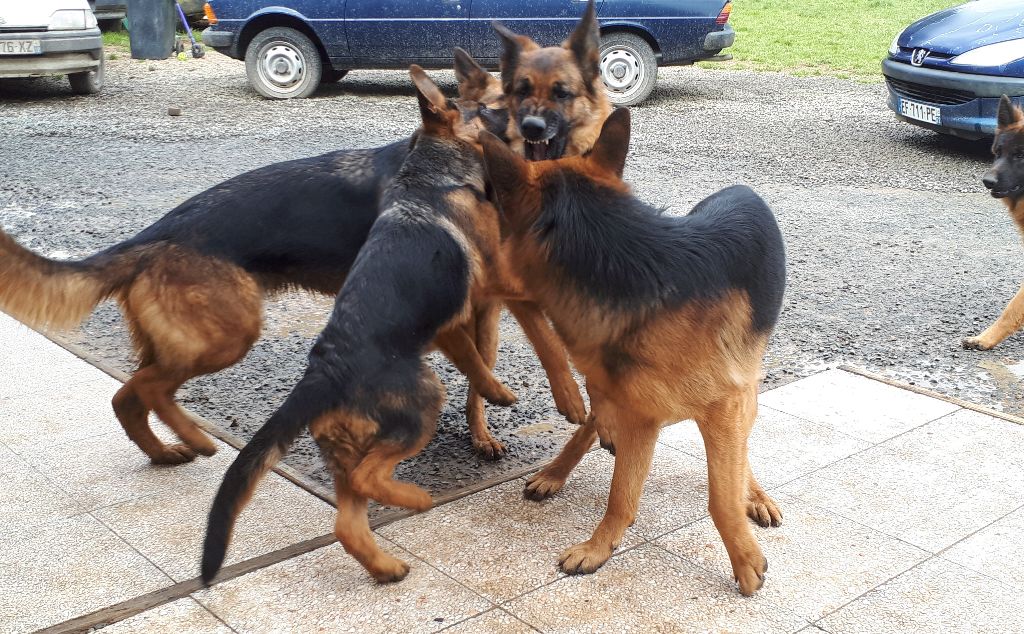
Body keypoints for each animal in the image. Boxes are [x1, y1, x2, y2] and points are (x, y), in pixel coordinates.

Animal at [0, 51, 585, 462]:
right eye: (496, 110)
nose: (543, 129)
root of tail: (152, 235)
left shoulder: (485, 307)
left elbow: (481, 376)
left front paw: (483, 433)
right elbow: (486, 361)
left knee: (127, 397)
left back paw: (165, 452)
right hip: (227, 336)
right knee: (150, 389)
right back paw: (196, 439)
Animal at [200, 69, 573, 585]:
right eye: (488, 109)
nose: (537, 125)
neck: (429, 175)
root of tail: (324, 373)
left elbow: (475, 359)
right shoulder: (473, 299)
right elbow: (476, 362)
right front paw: (499, 393)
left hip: (347, 447)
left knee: (347, 521)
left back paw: (386, 565)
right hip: (420, 405)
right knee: (369, 477)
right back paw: (415, 499)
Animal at [479, 106, 782, 598]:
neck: (629, 264)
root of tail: (741, 189)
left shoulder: (724, 408)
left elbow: (722, 495)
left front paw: (744, 556)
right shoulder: (640, 413)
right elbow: (621, 494)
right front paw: (599, 547)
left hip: (739, 391)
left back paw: (753, 494)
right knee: (595, 416)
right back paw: (558, 470)